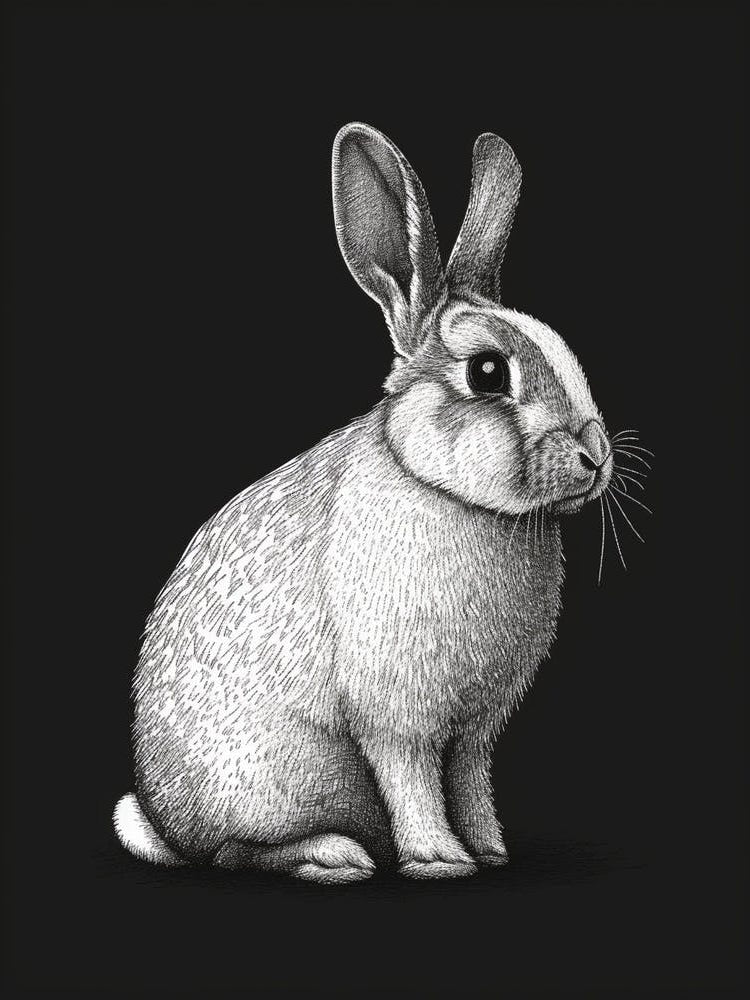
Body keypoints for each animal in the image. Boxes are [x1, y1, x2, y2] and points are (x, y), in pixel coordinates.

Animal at [114, 122, 615, 883]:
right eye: (487, 372)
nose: (595, 456)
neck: (443, 489)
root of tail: (166, 824)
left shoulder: (475, 729)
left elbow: (468, 780)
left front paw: (490, 851)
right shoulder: (397, 717)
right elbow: (413, 779)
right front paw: (440, 860)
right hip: (274, 780)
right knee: (234, 851)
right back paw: (336, 857)